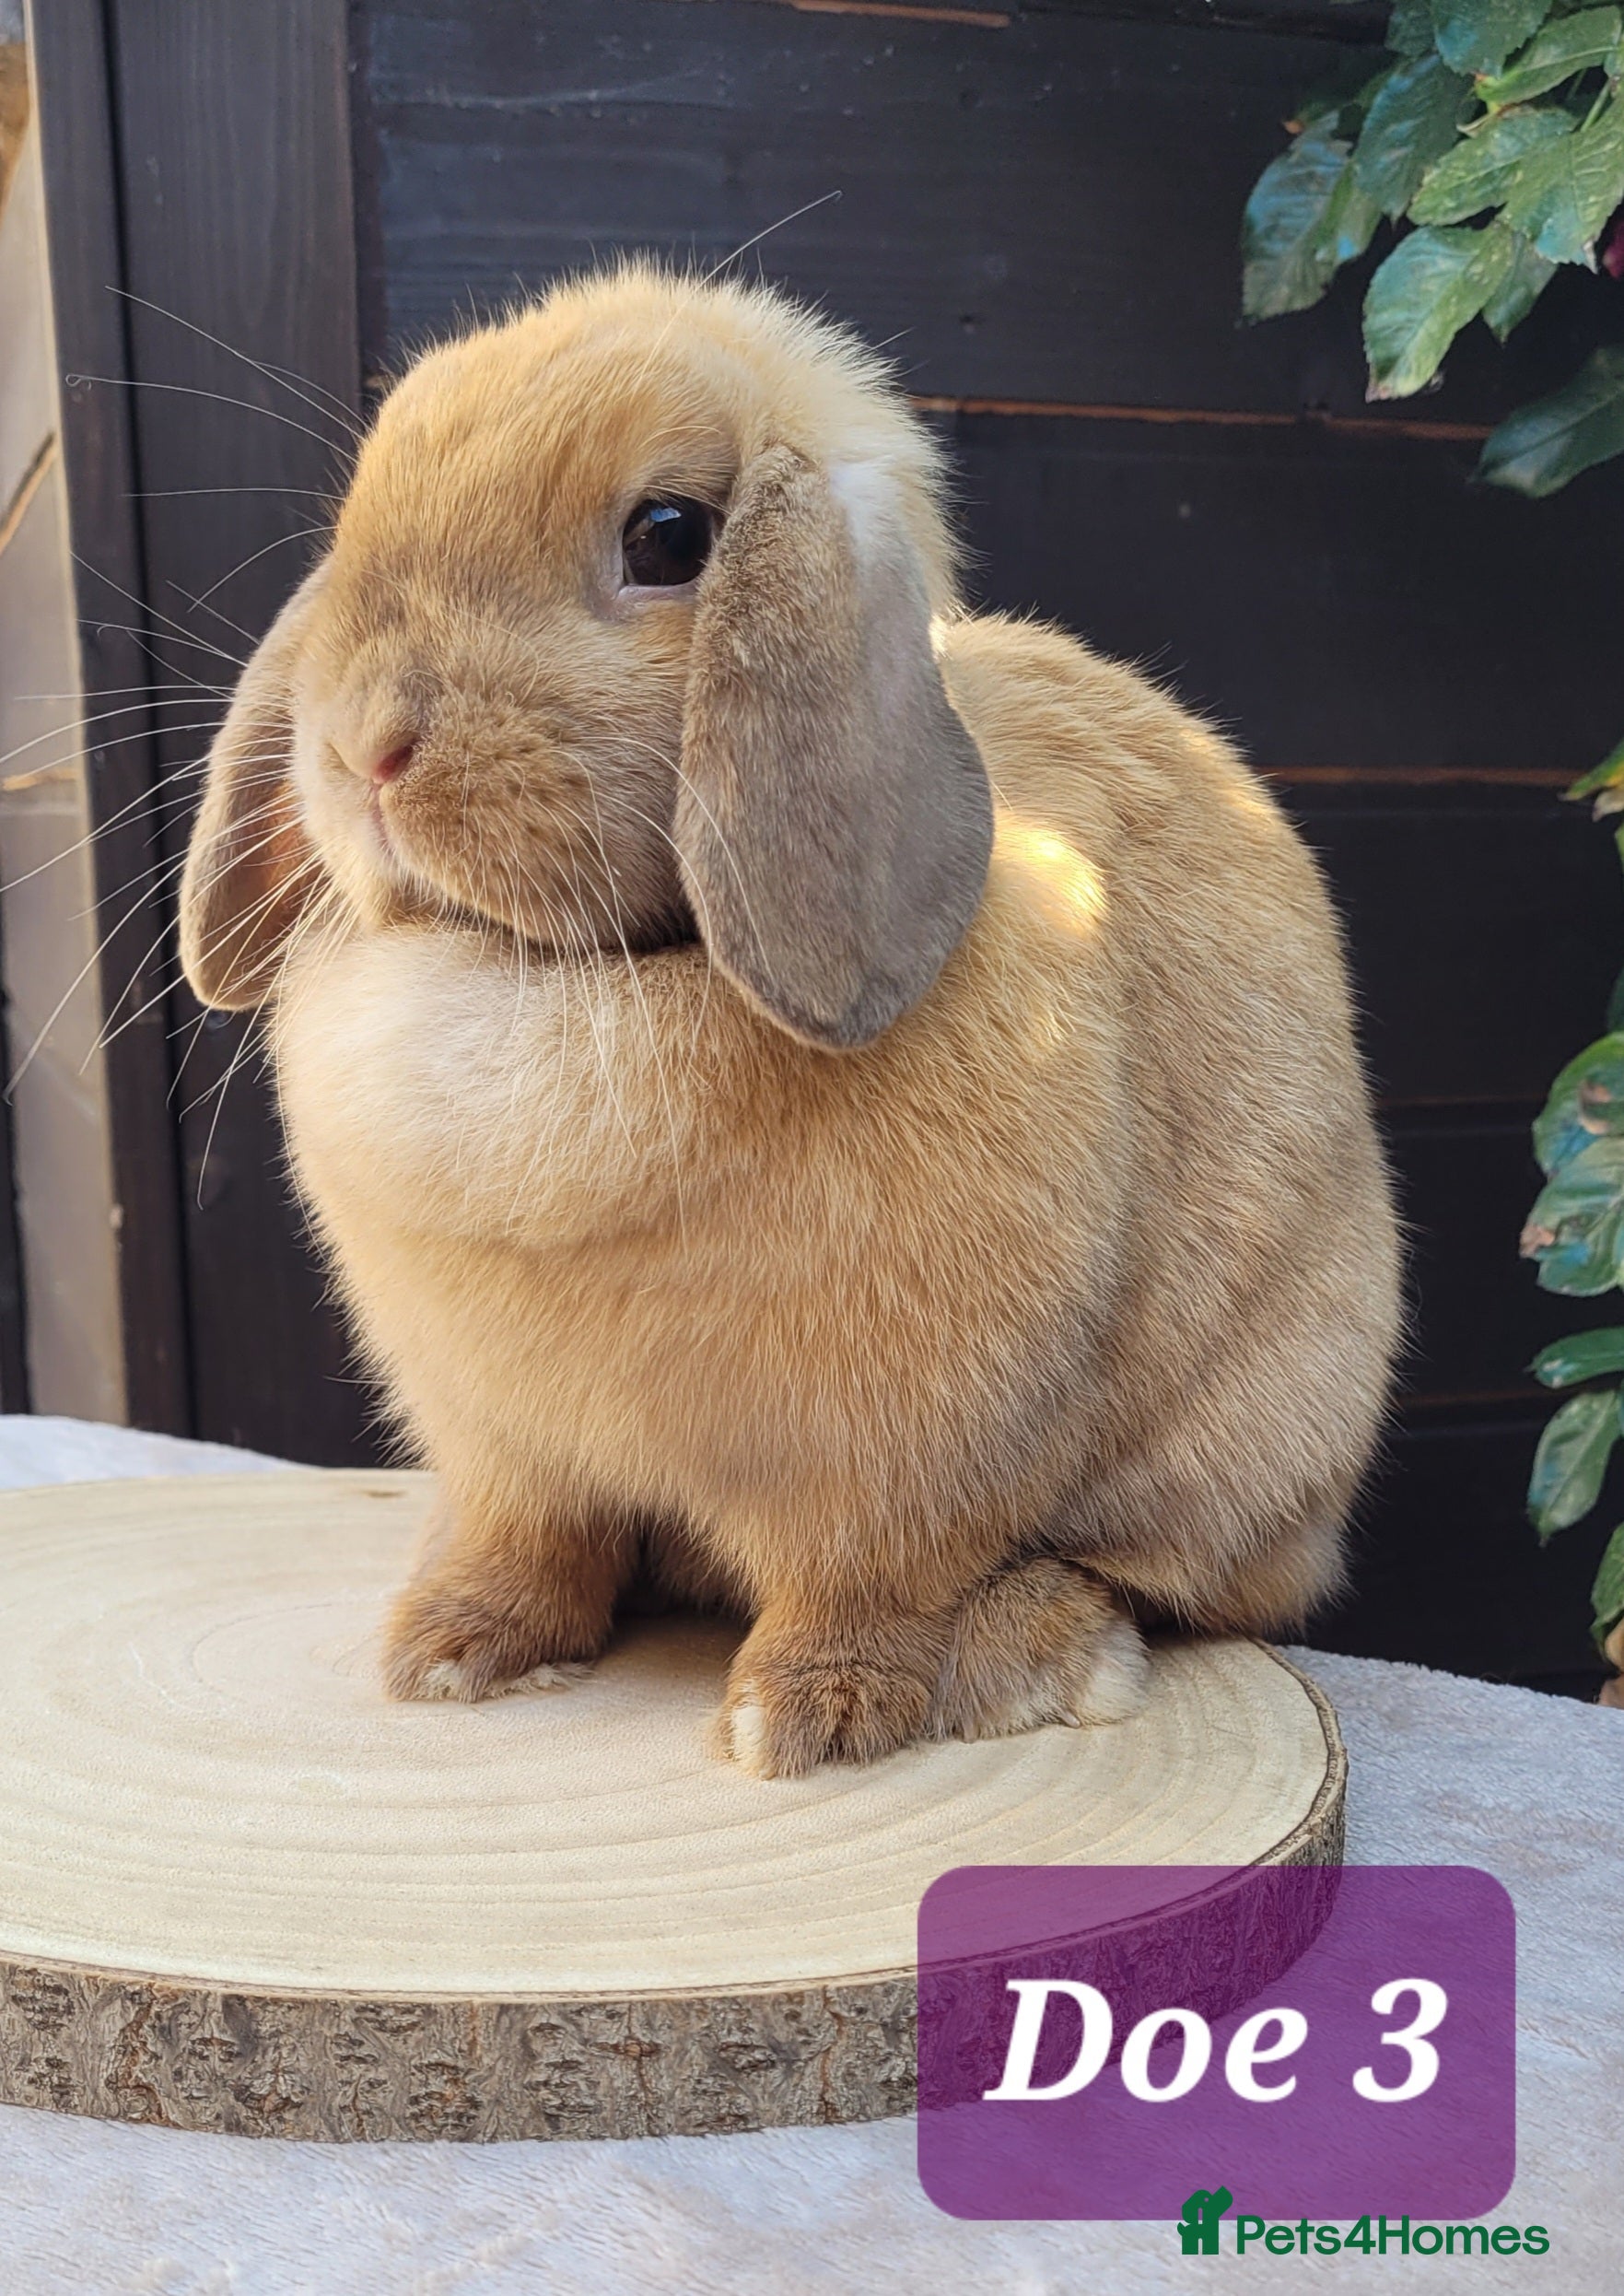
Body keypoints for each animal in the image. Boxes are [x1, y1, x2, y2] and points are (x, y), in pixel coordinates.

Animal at [179, 261, 1401, 1778]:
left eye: (667, 535)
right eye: (354, 520)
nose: (361, 746)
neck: (575, 968)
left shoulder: (893, 1467)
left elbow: (862, 1580)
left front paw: (806, 1717)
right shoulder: (508, 1450)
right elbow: (524, 1544)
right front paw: (454, 1654)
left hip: (1244, 1439)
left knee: (1152, 1579)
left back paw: (1028, 1658)